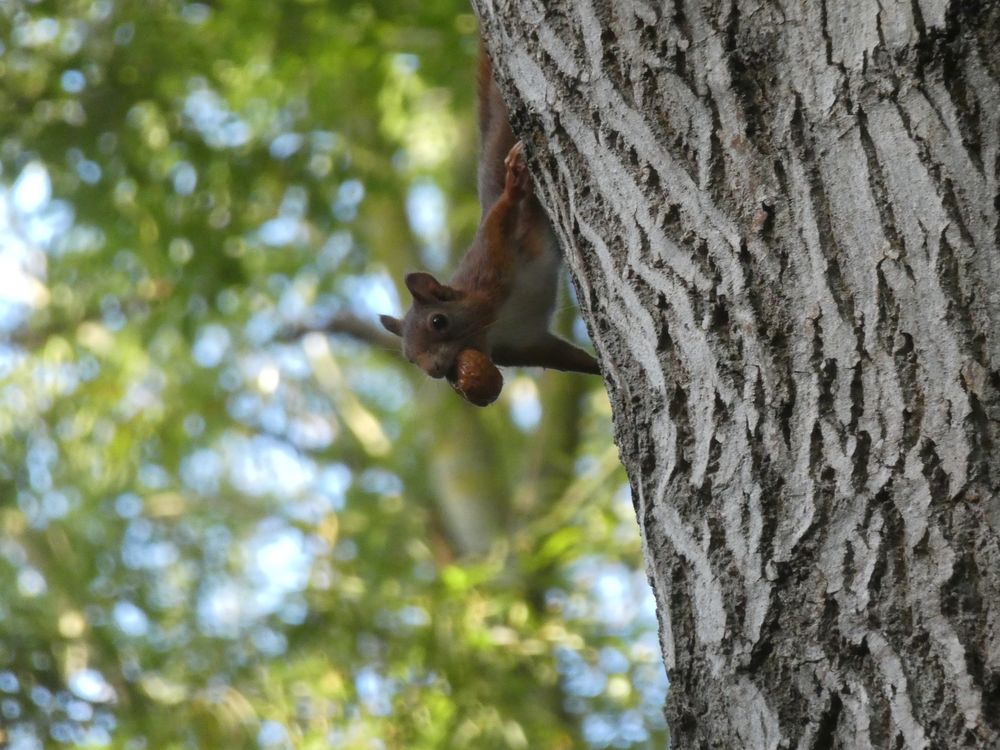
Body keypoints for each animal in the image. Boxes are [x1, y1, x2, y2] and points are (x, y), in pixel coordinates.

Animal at [376, 51, 596, 388]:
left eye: (439, 321)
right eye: (410, 358)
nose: (435, 371)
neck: (494, 323)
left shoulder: (490, 261)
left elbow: (501, 216)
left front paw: (513, 186)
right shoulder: (525, 345)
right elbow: (568, 359)